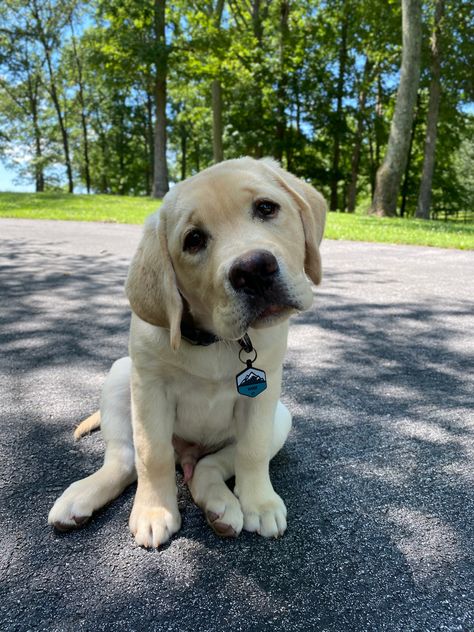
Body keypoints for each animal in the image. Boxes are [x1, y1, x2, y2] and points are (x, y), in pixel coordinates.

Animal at [50, 156, 328, 544]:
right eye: (193, 240)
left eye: (266, 208)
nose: (254, 269)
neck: (215, 340)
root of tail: (189, 454)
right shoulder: (149, 389)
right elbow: (152, 454)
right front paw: (154, 511)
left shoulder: (264, 391)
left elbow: (252, 451)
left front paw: (260, 502)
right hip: (121, 375)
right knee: (125, 460)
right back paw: (81, 496)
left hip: (281, 418)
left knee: (210, 466)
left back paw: (220, 506)